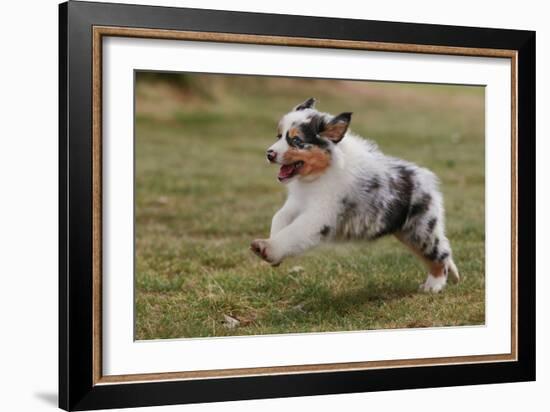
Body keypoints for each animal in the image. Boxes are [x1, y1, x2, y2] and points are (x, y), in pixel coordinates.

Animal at [252, 98, 460, 292]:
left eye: (297, 141)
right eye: (279, 136)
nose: (269, 154)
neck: (319, 175)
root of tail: (426, 178)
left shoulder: (318, 216)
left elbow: (292, 233)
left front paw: (266, 248)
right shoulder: (297, 203)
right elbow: (279, 217)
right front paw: (273, 251)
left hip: (420, 229)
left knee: (438, 254)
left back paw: (434, 285)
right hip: (406, 231)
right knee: (443, 247)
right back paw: (453, 276)